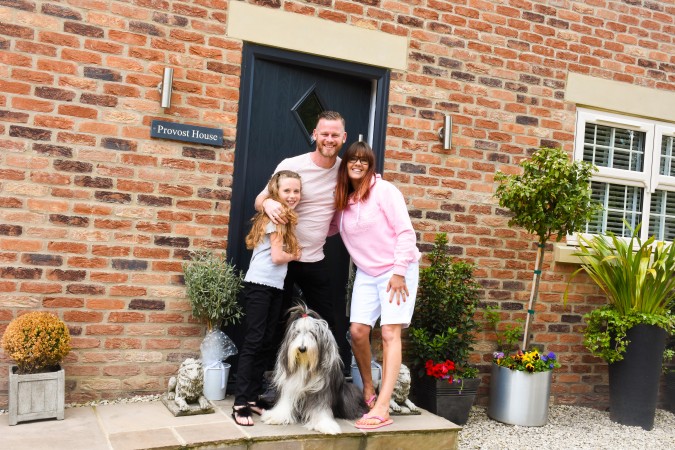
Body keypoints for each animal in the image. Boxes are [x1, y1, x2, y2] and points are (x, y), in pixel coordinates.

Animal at [262, 304, 370, 434]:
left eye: (312, 333)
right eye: (297, 332)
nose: (302, 348)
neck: (305, 363)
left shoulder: (321, 389)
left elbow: (320, 408)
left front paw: (326, 425)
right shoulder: (290, 384)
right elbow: (285, 402)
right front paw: (276, 417)